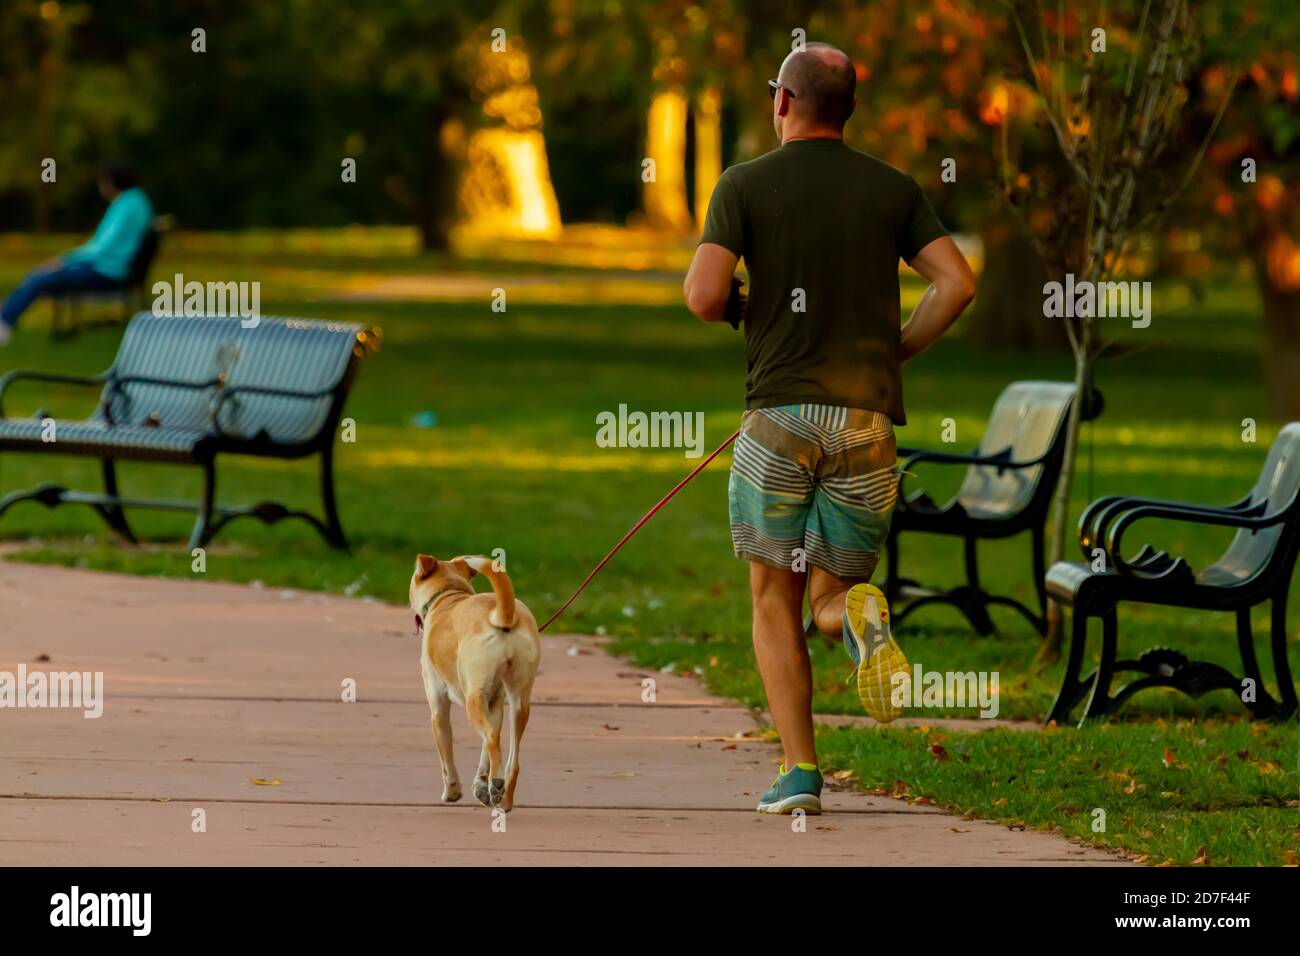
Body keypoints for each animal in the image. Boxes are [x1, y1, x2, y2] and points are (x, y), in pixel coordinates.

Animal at [410, 556, 543, 811]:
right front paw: (482, 784)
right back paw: (503, 798)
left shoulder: (438, 708)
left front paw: (452, 791)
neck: (448, 594)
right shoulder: (494, 703)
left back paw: (497, 783)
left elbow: (447, 756)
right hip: (519, 700)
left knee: (490, 736)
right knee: (509, 754)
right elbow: (488, 746)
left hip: (473, 699)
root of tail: (502, 614)